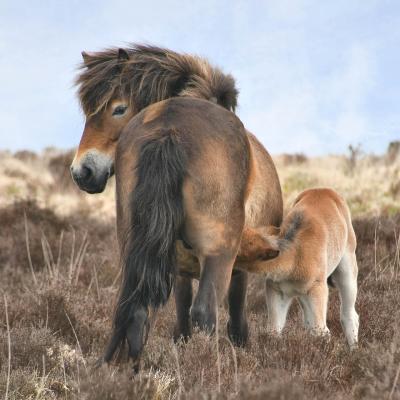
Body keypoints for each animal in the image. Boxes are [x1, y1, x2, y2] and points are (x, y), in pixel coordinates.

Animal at [72, 43, 282, 362]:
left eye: (118, 108)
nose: (82, 172)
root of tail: (168, 128)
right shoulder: (238, 263)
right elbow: (233, 312)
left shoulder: (178, 263)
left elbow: (180, 312)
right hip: (219, 253)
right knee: (205, 313)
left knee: (134, 310)